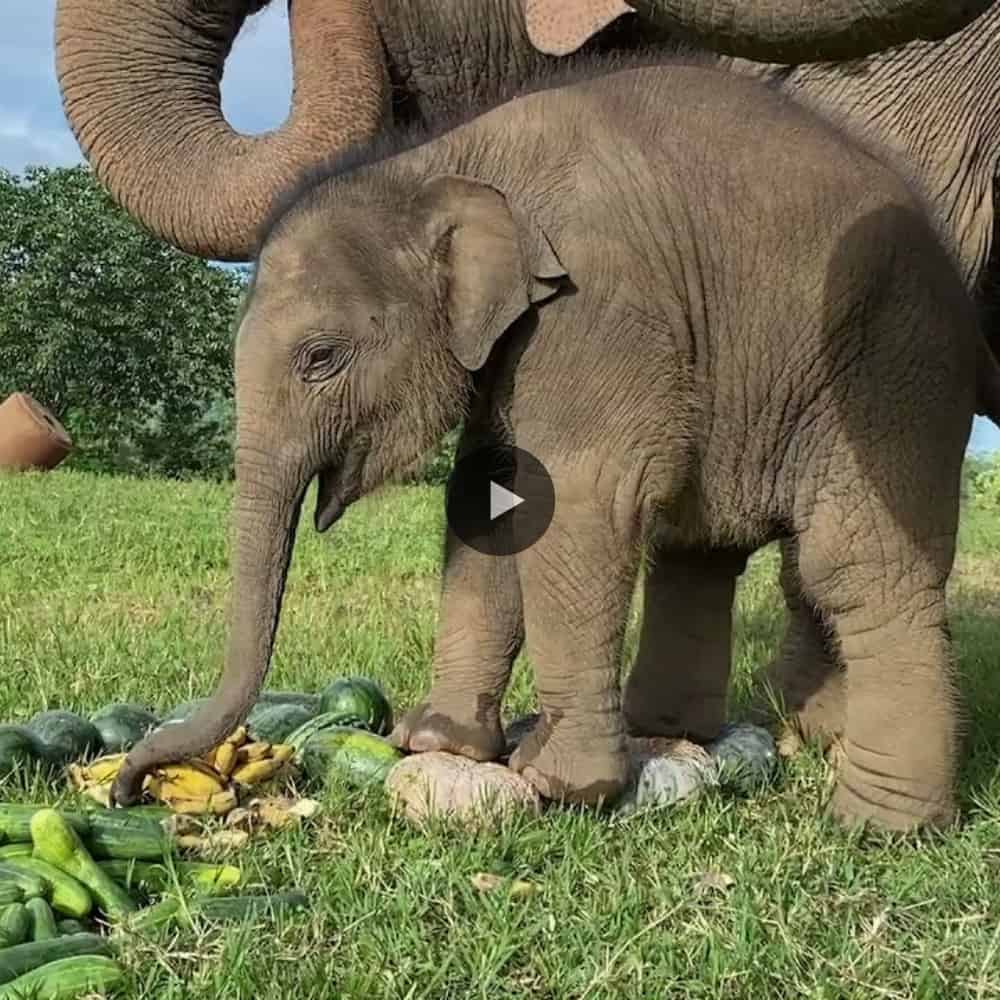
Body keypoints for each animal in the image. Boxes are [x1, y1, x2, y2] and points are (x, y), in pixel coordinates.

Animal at [55, 0, 1000, 758]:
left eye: (321, 357)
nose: (129, 783)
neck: (449, 160)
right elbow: (489, 489)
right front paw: (441, 739)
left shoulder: (602, 299)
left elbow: (583, 489)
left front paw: (558, 773)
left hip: (888, 353)